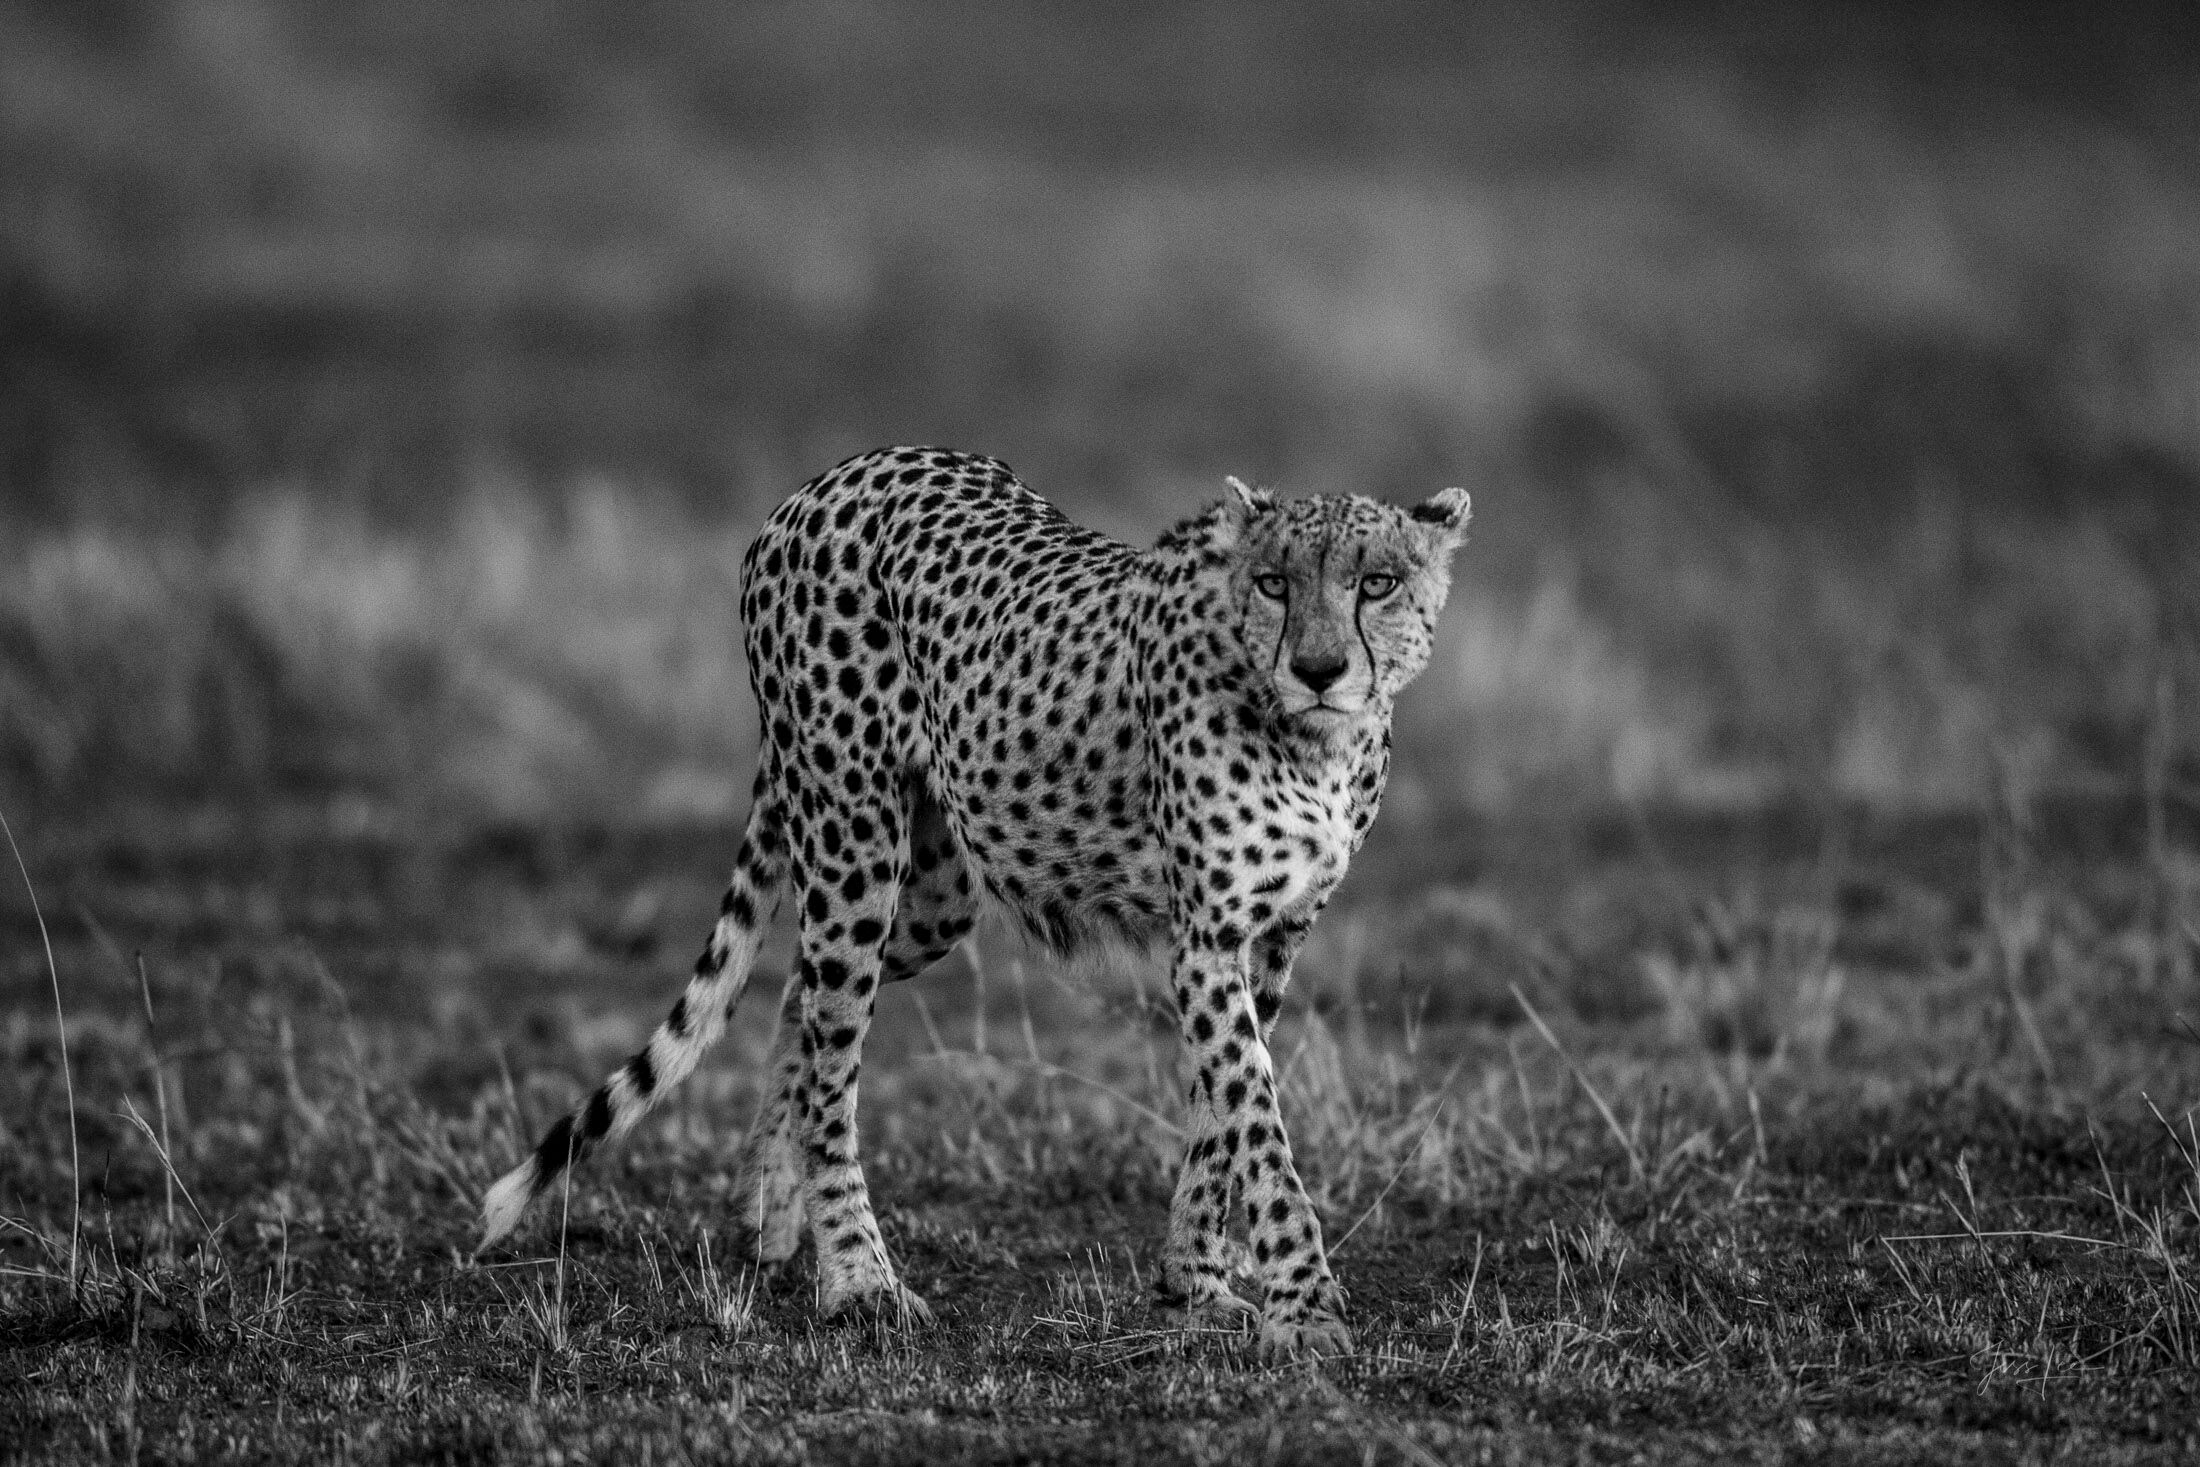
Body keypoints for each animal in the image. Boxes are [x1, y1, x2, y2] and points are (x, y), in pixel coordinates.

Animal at [477, 446, 1471, 1358]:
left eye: (1377, 583)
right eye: (1273, 583)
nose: (1319, 666)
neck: (1317, 742)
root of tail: (838, 473)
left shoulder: (1272, 937)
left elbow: (1220, 1117)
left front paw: (1195, 1278)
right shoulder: (1210, 935)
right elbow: (1254, 1118)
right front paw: (1303, 1308)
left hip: (940, 882)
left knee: (801, 994)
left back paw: (769, 1211)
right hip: (852, 839)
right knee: (832, 1049)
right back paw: (857, 1277)